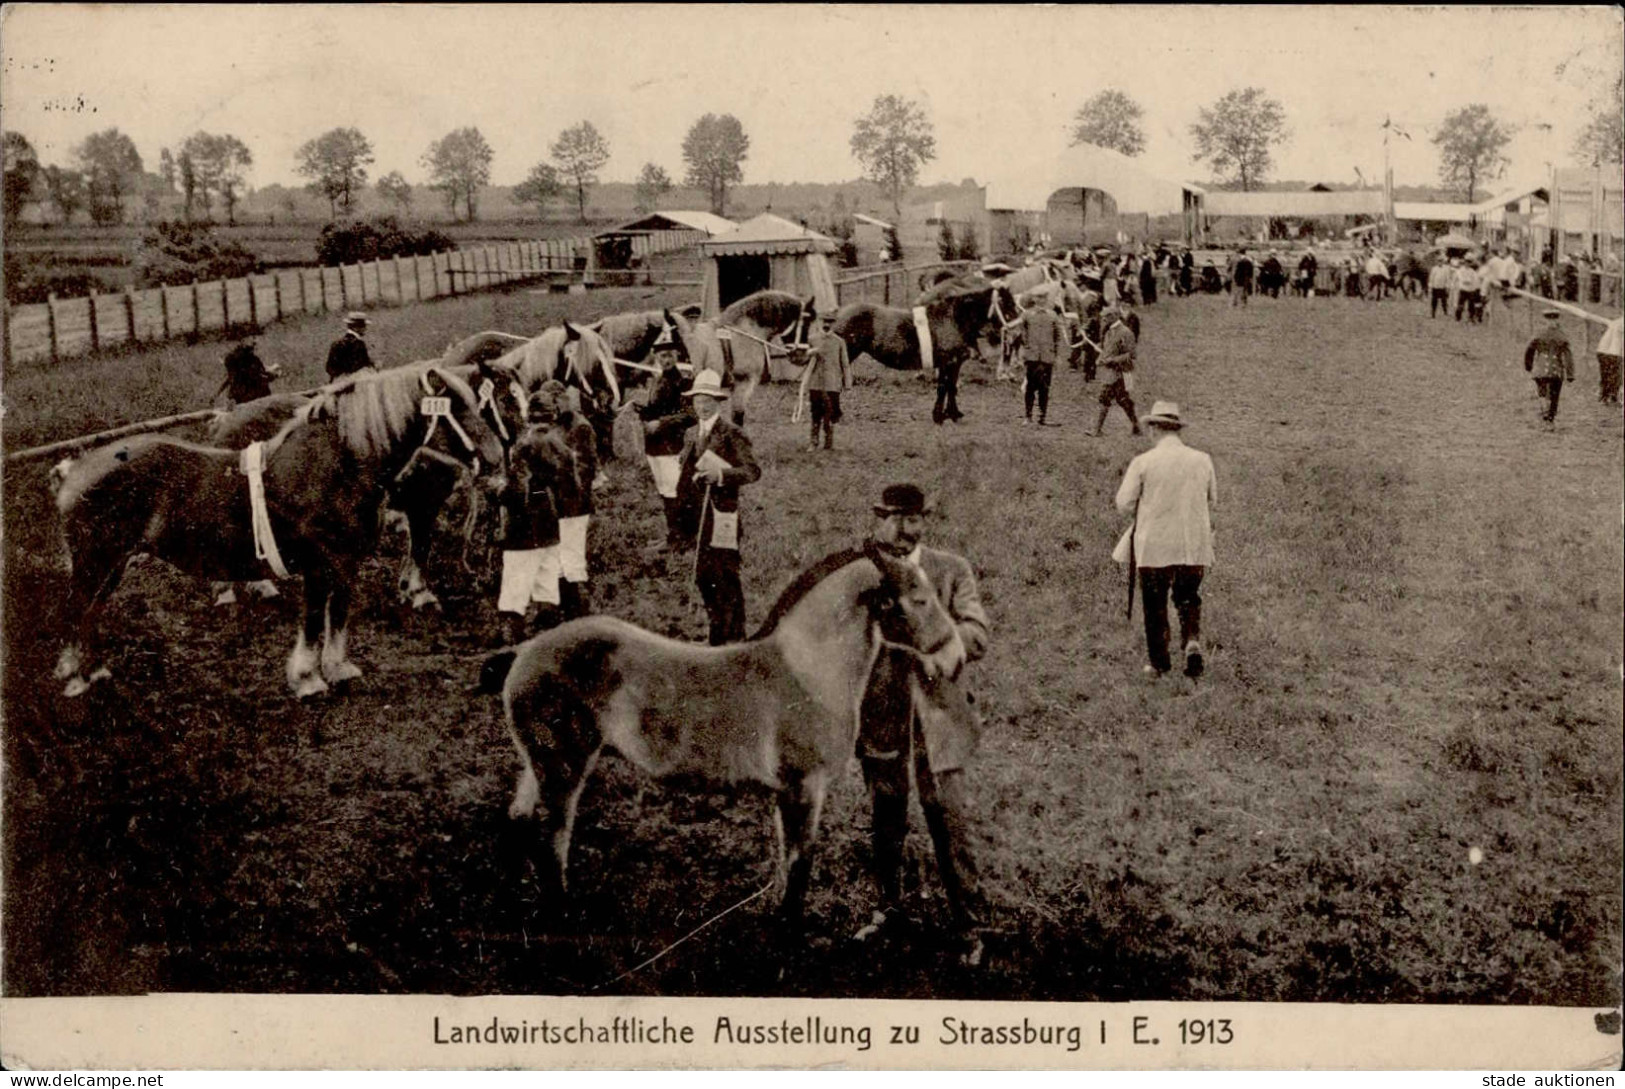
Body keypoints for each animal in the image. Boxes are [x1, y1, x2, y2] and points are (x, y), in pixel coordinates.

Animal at [55, 364, 500, 698]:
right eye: (453, 408)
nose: (496, 457)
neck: (337, 465)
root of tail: (73, 468)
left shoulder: (345, 564)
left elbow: (338, 617)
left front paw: (338, 669)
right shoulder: (319, 567)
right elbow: (313, 622)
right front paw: (307, 680)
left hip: (113, 564)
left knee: (89, 613)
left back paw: (95, 672)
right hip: (96, 561)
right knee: (76, 610)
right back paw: (77, 678)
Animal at [481, 546, 962, 923]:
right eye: (919, 599)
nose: (956, 659)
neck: (807, 671)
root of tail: (524, 651)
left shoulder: (785, 792)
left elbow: (787, 859)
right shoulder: (805, 786)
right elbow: (800, 860)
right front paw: (790, 932)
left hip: (540, 767)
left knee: (519, 820)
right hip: (562, 768)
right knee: (551, 838)